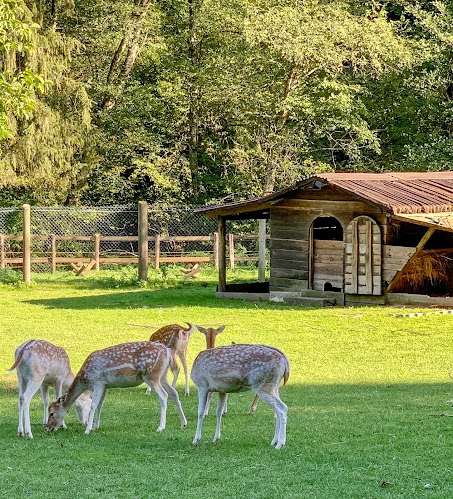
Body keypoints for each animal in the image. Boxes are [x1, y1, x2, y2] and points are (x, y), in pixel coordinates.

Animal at [45, 342, 186, 436]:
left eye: (51, 413)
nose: (47, 427)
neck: (85, 379)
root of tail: (168, 351)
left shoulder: (98, 382)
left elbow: (93, 405)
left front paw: (87, 430)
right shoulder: (105, 385)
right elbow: (100, 405)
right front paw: (95, 427)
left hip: (151, 375)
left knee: (163, 396)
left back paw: (160, 427)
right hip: (163, 375)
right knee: (174, 393)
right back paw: (183, 424)